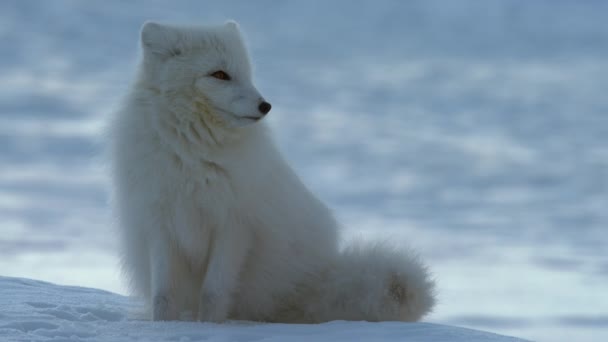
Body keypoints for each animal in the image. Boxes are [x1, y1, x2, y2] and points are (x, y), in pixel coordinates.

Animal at [108, 21, 432, 324]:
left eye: (247, 73)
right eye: (220, 74)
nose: (266, 106)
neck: (195, 156)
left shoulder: (235, 227)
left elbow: (213, 293)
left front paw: (209, 327)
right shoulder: (160, 224)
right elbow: (163, 295)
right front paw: (164, 327)